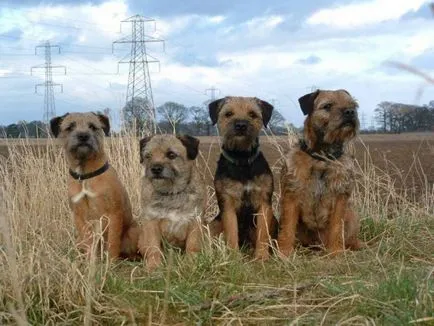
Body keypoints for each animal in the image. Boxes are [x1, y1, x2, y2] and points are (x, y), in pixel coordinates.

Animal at [50, 112, 139, 260]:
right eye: (70, 127)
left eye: (92, 126)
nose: (83, 136)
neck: (85, 175)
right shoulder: (79, 216)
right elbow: (88, 243)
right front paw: (90, 262)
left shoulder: (113, 214)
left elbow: (113, 243)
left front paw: (111, 264)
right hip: (78, 240)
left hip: (132, 232)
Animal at [209, 96, 276, 260]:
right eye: (228, 114)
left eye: (252, 114)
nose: (241, 125)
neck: (242, 159)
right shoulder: (227, 203)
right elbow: (232, 232)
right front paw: (234, 257)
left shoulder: (264, 203)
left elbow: (262, 233)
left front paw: (261, 256)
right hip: (213, 223)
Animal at [278, 90, 362, 258]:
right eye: (327, 106)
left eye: (353, 105)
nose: (350, 112)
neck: (323, 158)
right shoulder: (291, 196)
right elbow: (288, 226)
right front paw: (285, 252)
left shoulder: (340, 198)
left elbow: (336, 227)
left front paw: (336, 251)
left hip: (351, 215)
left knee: (351, 238)